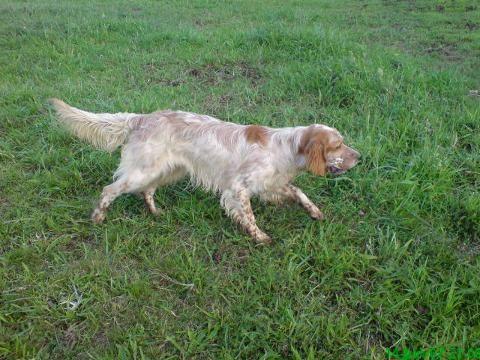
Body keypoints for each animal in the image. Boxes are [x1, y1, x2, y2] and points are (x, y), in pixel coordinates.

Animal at [49, 98, 360, 245]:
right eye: (338, 145)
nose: (359, 157)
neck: (287, 147)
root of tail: (141, 118)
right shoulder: (238, 187)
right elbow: (249, 215)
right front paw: (260, 237)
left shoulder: (271, 183)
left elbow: (299, 191)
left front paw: (315, 212)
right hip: (142, 171)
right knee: (109, 189)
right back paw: (98, 217)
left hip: (165, 170)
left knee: (147, 191)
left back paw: (157, 213)